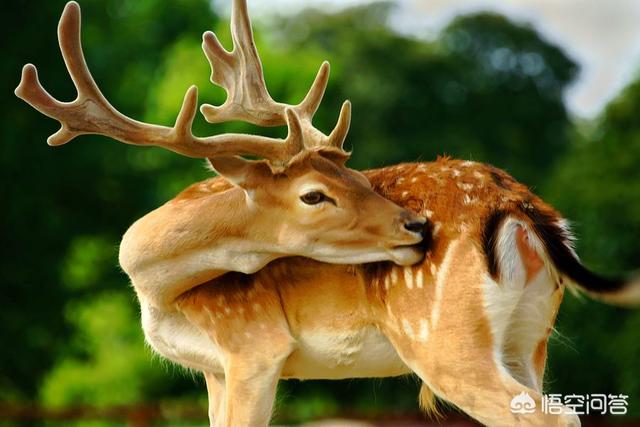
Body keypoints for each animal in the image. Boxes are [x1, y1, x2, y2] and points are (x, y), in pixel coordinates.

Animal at [16, 0, 640, 427]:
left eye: (358, 177)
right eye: (320, 191)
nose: (416, 226)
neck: (154, 286)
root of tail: (519, 205)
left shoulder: (252, 345)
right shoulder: (215, 369)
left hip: (442, 339)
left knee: (546, 415)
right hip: (530, 335)